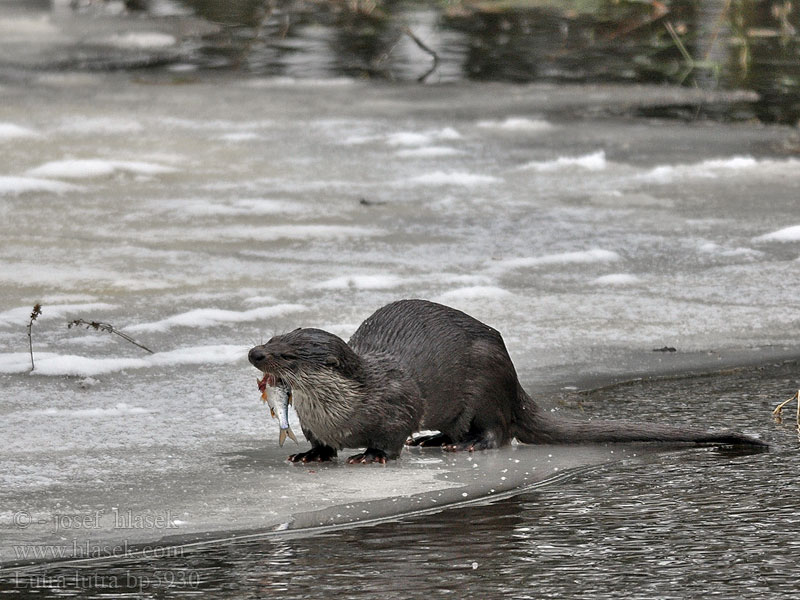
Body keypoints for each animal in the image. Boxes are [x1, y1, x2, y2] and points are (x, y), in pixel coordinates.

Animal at [247, 300, 764, 464]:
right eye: (271, 337)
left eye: (287, 353)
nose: (253, 353)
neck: (344, 411)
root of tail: (516, 381)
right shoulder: (315, 423)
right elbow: (319, 444)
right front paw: (310, 455)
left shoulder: (396, 403)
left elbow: (391, 436)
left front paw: (371, 455)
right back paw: (434, 441)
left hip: (487, 383)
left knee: (498, 431)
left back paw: (464, 444)